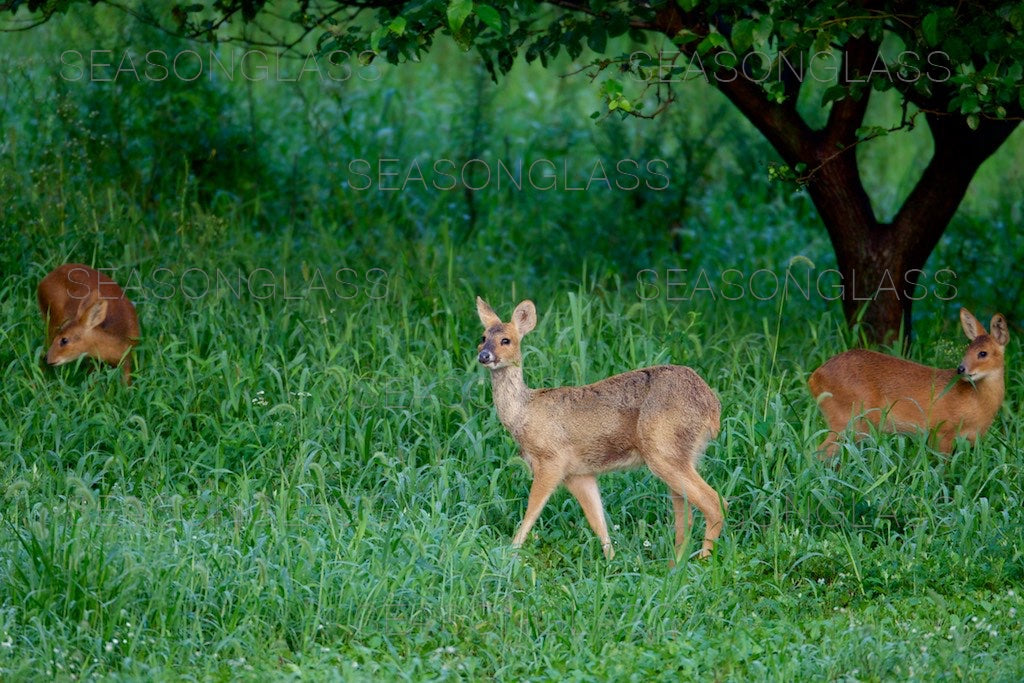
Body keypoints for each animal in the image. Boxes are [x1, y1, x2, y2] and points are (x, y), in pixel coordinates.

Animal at [475, 296, 724, 561]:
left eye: (506, 340)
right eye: (483, 336)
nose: (484, 355)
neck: (525, 412)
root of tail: (712, 408)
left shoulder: (551, 461)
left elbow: (531, 511)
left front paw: (509, 554)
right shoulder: (579, 474)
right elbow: (598, 521)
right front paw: (612, 561)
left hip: (663, 450)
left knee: (715, 503)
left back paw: (703, 560)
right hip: (681, 454)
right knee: (685, 516)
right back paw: (675, 563)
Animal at [806, 309, 1015, 458]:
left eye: (982, 353)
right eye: (968, 350)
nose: (961, 369)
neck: (977, 403)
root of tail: (814, 377)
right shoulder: (941, 431)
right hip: (849, 420)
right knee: (816, 454)